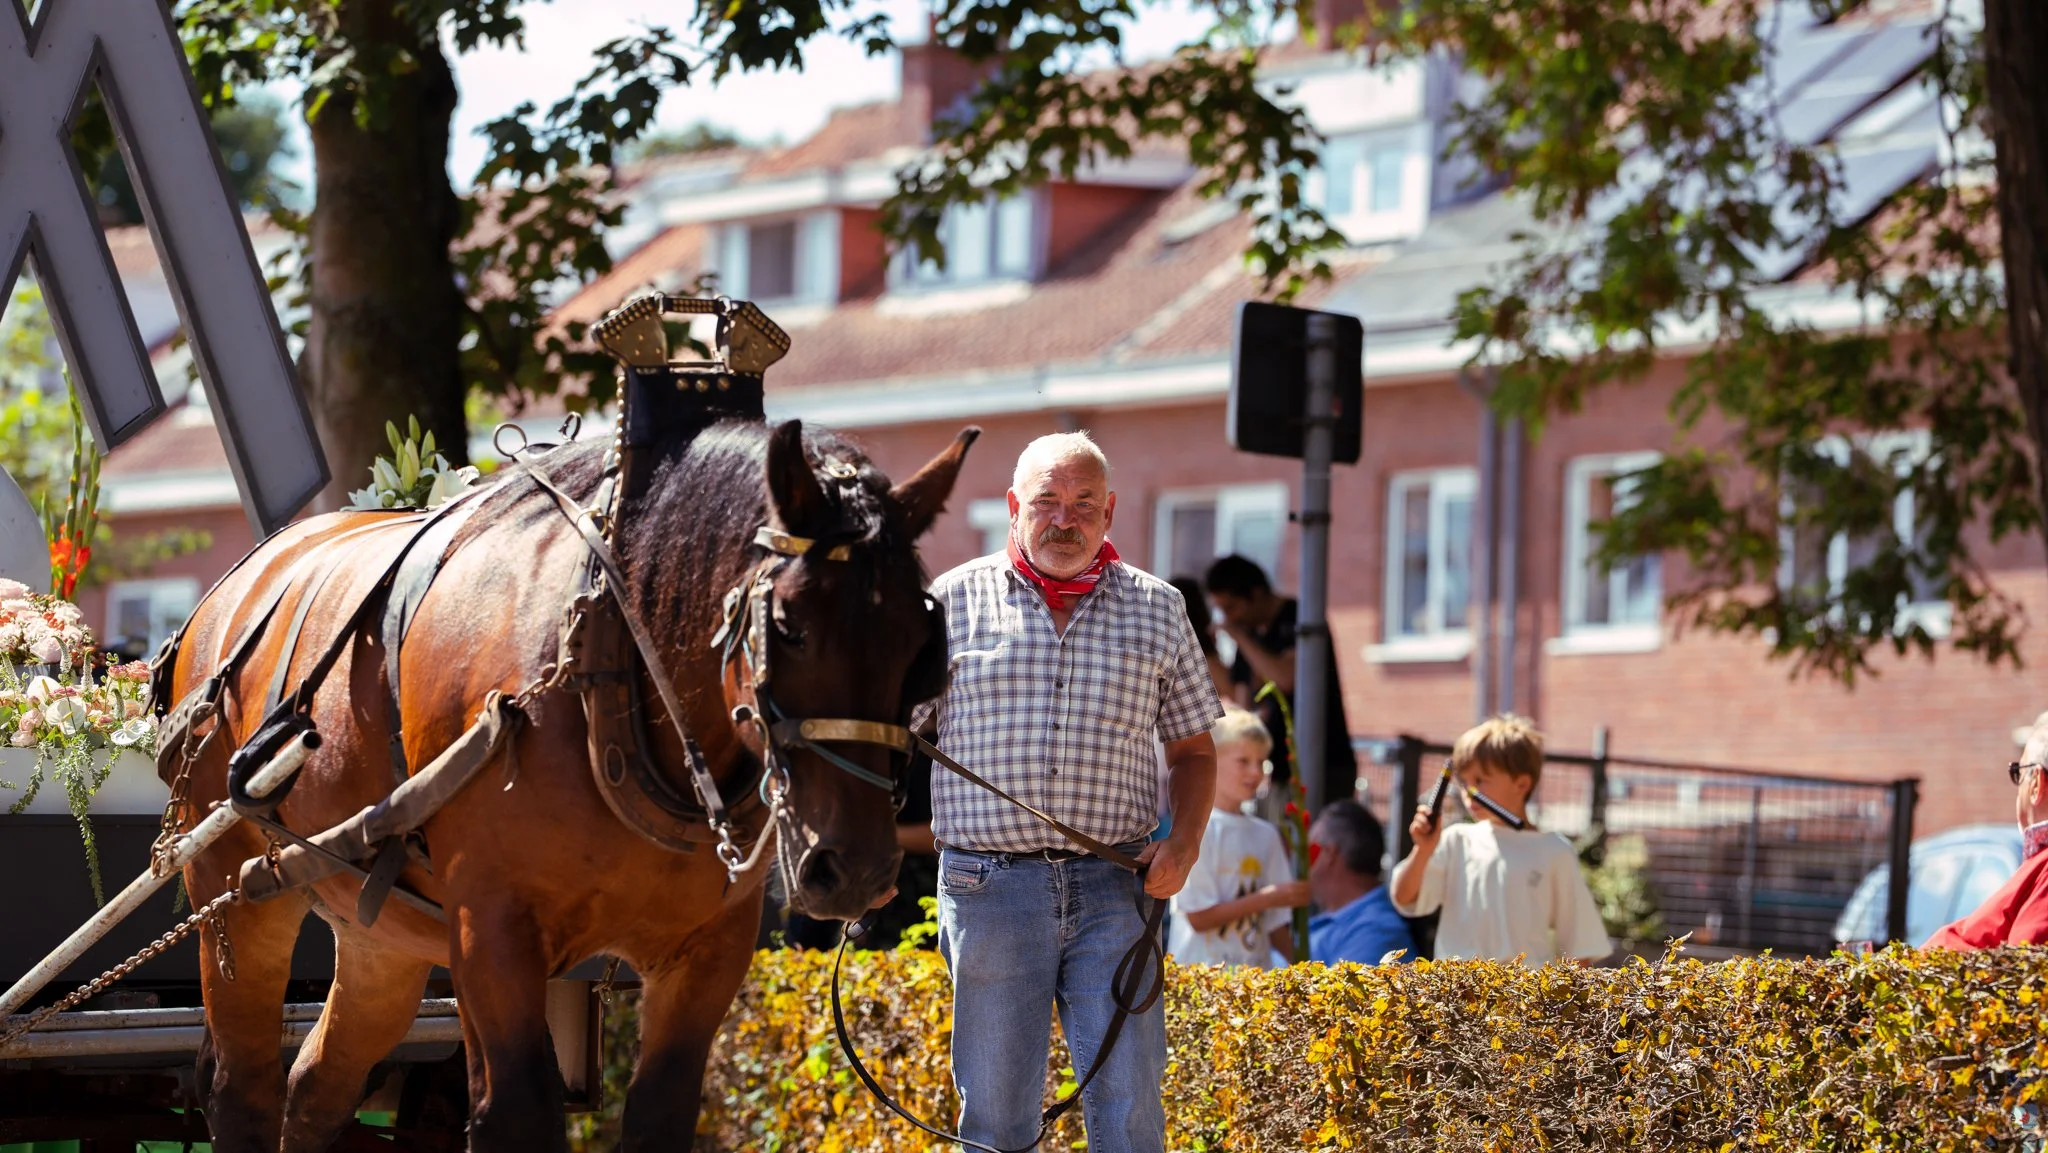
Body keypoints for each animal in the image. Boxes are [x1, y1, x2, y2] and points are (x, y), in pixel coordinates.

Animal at [163, 417, 977, 1152]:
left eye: (920, 641)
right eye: (790, 626)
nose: (857, 868)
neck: (606, 676)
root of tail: (240, 578)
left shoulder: (708, 950)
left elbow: (657, 1115)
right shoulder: (489, 930)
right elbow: (516, 1114)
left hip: (378, 931)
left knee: (316, 1087)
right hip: (233, 886)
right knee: (241, 1086)